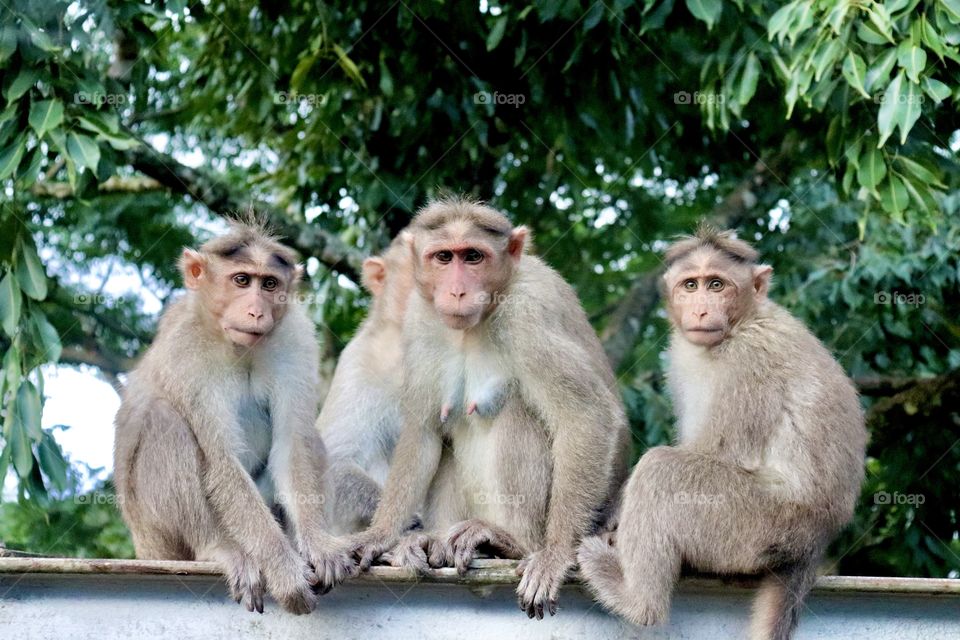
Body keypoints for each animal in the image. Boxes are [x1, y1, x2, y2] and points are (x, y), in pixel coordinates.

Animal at [113, 220, 356, 615]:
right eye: (241, 280)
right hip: (158, 540)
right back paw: (217, 549)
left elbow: (292, 446)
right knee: (164, 420)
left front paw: (319, 545)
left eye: (269, 284)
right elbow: (221, 461)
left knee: (309, 440)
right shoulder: (185, 353)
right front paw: (283, 568)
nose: (256, 312)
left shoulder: (294, 338)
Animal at [348, 197, 630, 619]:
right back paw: (432, 541)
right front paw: (381, 535)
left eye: (473, 256)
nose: (457, 292)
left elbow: (586, 415)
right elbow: (424, 432)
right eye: (444, 257)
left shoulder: (528, 315)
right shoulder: (417, 317)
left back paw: (509, 542)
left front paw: (557, 553)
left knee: (517, 411)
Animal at [577, 227, 867, 640]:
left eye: (717, 284)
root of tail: (815, 542)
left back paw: (635, 599)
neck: (743, 321)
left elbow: (717, 452)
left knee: (663, 469)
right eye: (690, 285)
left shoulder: (748, 359)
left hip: (754, 526)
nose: (700, 309)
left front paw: (615, 509)